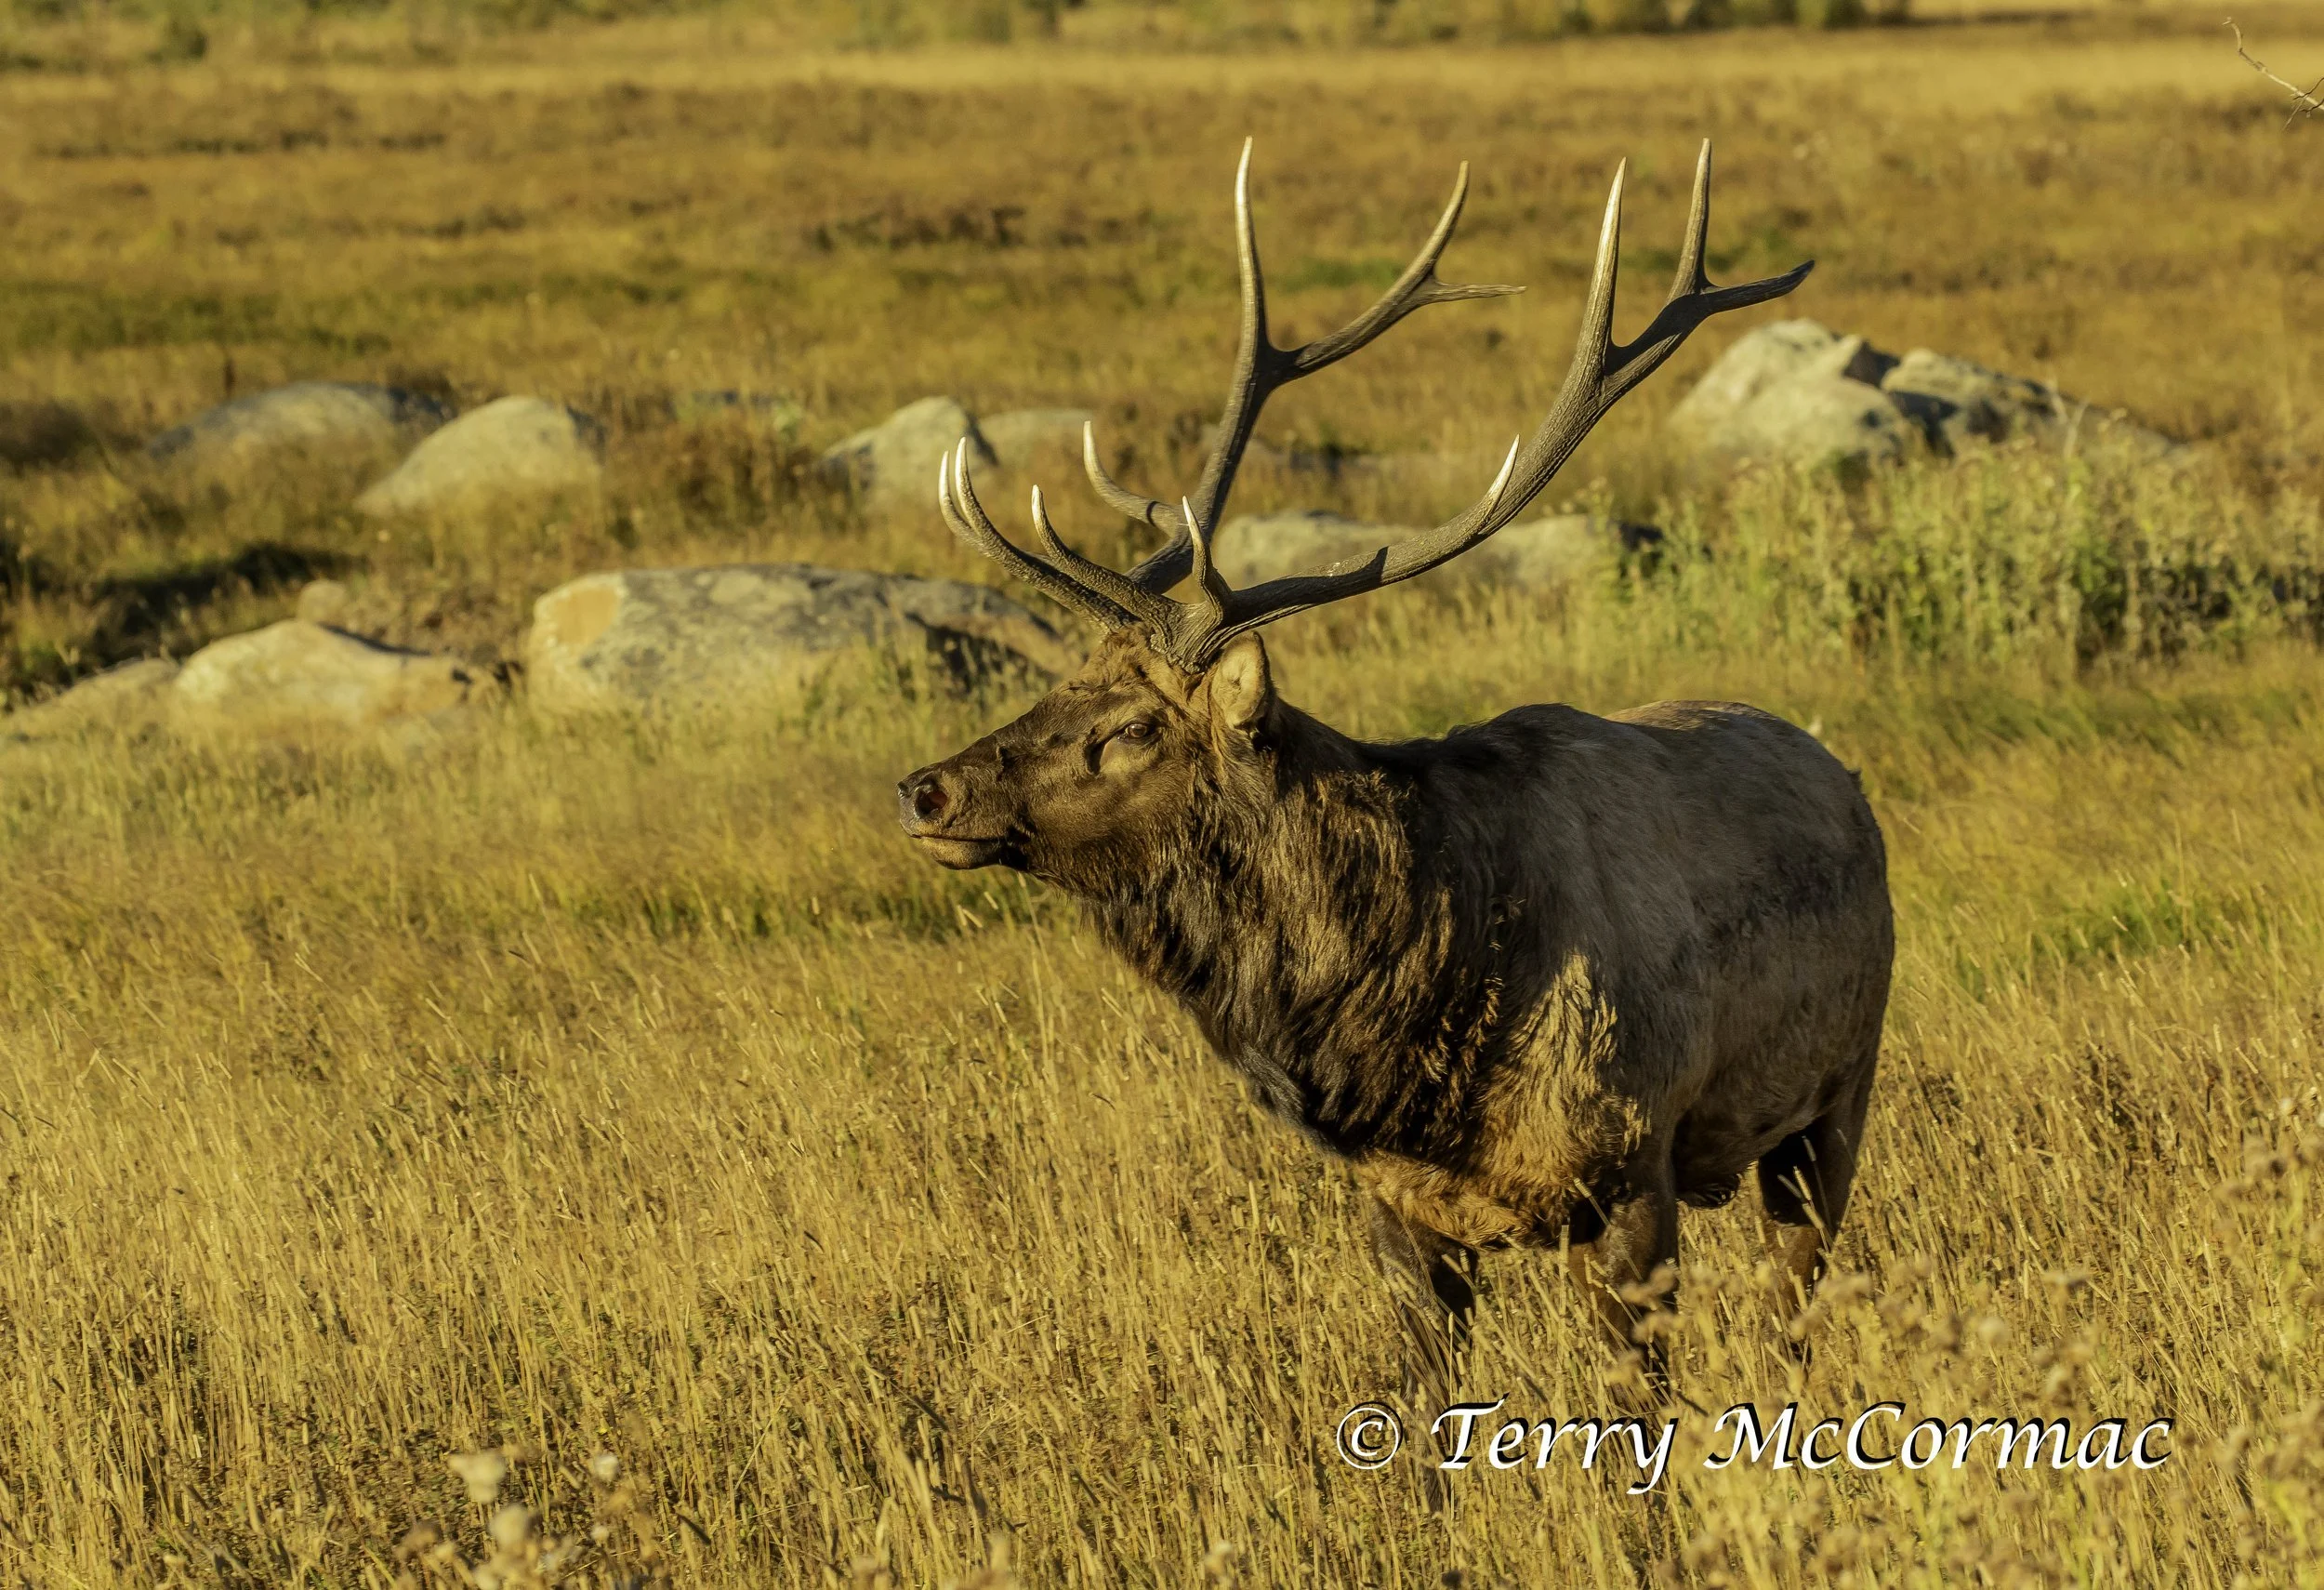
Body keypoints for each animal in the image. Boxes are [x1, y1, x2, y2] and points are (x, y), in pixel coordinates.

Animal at [896, 142, 1894, 1415]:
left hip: (1837, 1096)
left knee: (1791, 1305)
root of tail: (1838, 769)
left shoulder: (1630, 1171)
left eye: (1127, 730)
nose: (927, 790)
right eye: (1063, 684)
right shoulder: (1396, 1209)